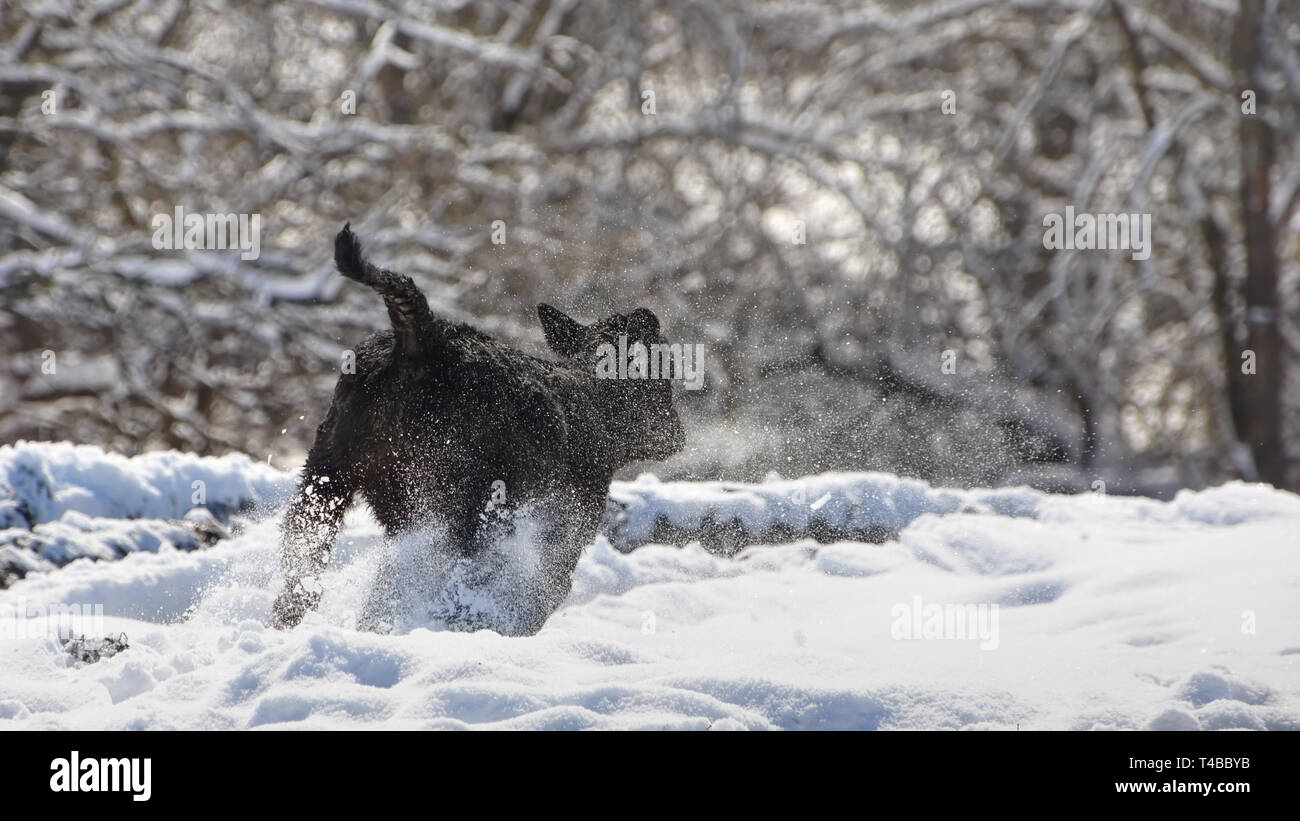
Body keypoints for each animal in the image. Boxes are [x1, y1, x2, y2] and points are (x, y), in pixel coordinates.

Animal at [270, 227, 686, 631]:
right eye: (664, 375)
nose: (679, 435)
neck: (590, 398)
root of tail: (423, 342)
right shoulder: (562, 531)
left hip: (326, 481)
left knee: (303, 568)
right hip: (454, 506)